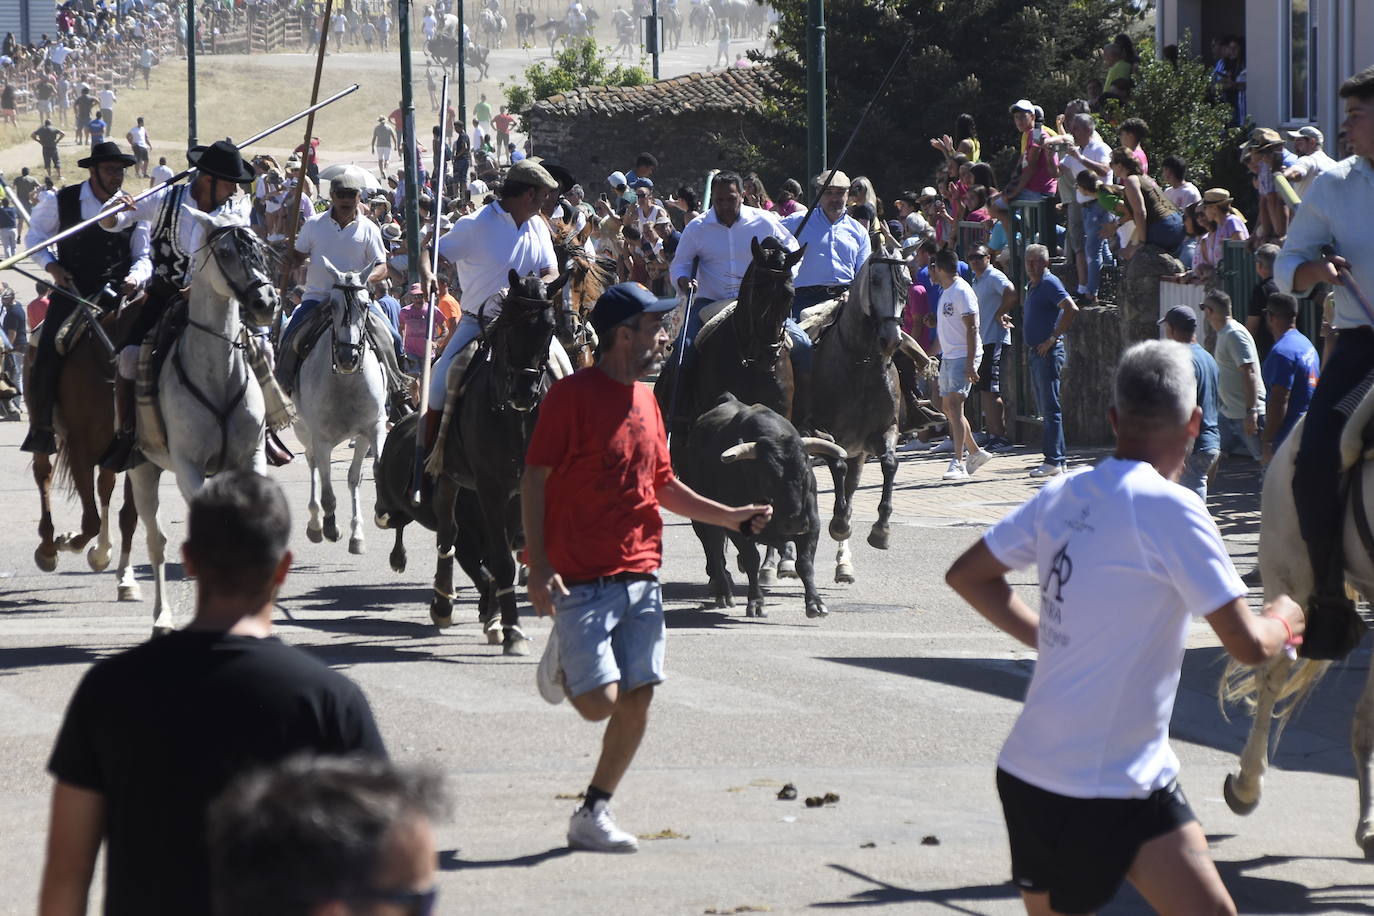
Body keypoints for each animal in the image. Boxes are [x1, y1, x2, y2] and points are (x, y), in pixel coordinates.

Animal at [127, 210, 280, 634]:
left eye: (259, 248)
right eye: (225, 252)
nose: (266, 301)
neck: (218, 372)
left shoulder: (250, 458)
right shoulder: (188, 467)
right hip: (142, 469)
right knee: (156, 541)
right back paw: (161, 616)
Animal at [292, 258, 390, 560]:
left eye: (366, 304)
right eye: (332, 305)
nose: (349, 357)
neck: (346, 381)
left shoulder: (372, 429)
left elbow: (363, 475)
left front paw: (368, 526)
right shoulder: (322, 438)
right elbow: (327, 493)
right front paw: (330, 526)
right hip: (304, 431)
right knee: (312, 464)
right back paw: (315, 524)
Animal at [678, 392, 846, 615]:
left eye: (805, 472)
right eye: (768, 476)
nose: (794, 522)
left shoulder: (812, 524)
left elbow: (805, 563)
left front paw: (815, 603)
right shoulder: (736, 527)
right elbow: (751, 559)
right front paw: (756, 602)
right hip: (702, 518)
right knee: (714, 550)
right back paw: (723, 592)